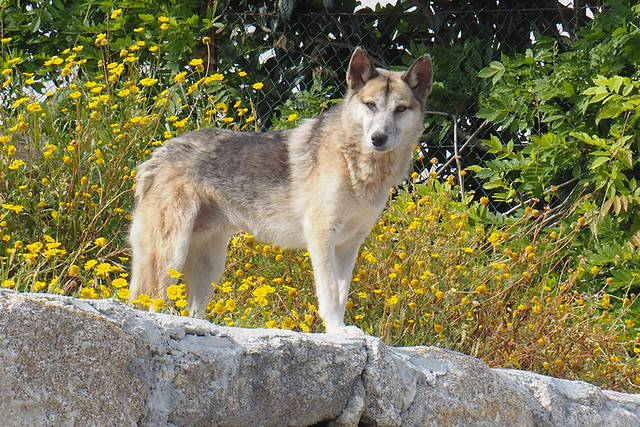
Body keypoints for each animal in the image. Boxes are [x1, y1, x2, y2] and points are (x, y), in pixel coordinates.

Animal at [128, 46, 432, 334]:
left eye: (400, 109)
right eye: (370, 105)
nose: (378, 138)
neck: (358, 164)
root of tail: (154, 157)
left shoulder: (349, 244)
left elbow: (342, 293)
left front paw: (341, 330)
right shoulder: (321, 235)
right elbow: (330, 294)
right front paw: (337, 330)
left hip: (209, 267)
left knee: (191, 311)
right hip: (172, 255)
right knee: (152, 303)